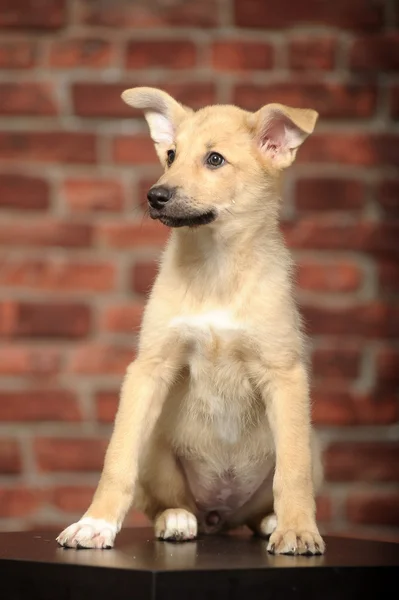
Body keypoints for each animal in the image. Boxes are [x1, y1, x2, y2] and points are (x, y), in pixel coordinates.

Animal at [55, 86, 324, 556]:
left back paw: (272, 521)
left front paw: (297, 529)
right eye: (170, 155)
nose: (155, 196)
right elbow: (116, 459)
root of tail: (220, 515)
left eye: (215, 159)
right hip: (157, 450)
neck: (216, 268)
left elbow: (293, 472)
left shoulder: (285, 374)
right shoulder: (148, 369)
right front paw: (95, 523)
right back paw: (177, 519)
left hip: (311, 444)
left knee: (267, 499)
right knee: (169, 501)